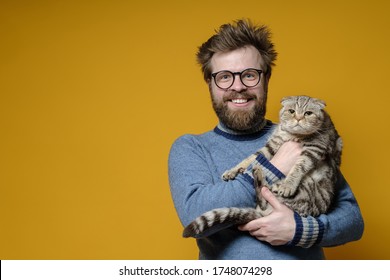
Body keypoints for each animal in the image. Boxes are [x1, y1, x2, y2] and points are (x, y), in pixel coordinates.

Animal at [183, 95, 342, 238]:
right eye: (291, 111)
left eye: (308, 113)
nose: (298, 118)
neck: (293, 135)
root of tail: (261, 214)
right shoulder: (272, 145)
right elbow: (252, 158)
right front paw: (234, 170)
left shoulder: (314, 148)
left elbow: (298, 168)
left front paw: (288, 185)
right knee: (262, 198)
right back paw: (257, 172)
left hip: (306, 191)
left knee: (265, 197)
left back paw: (269, 180)